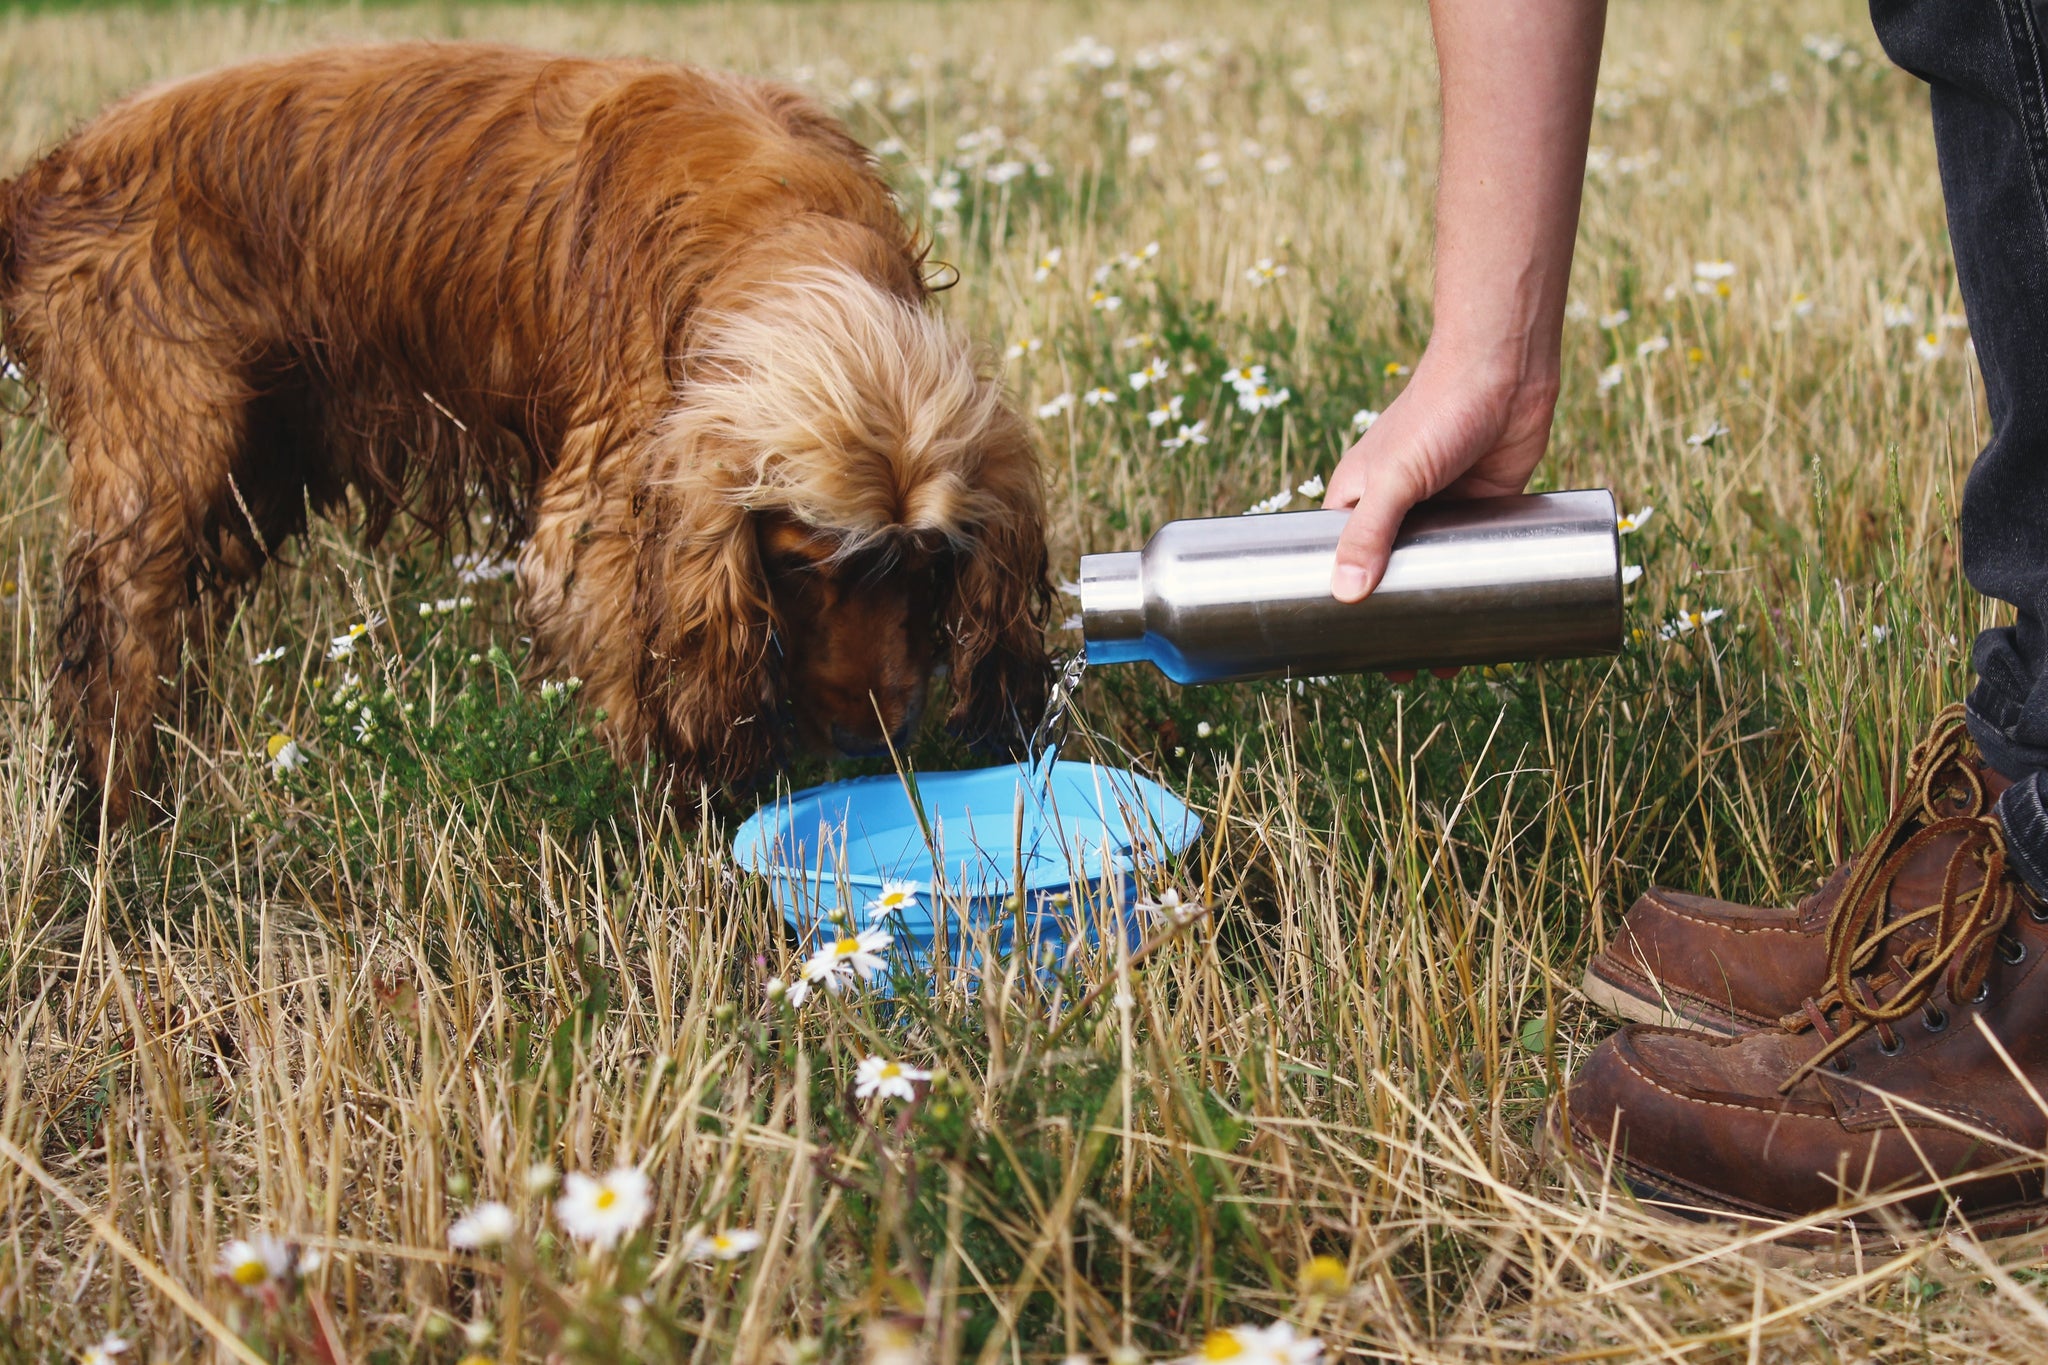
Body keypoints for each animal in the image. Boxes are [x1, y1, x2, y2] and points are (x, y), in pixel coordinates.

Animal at [0, 42, 1048, 818]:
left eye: (933, 565)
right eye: (796, 565)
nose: (879, 739)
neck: (784, 224)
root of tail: (49, 171)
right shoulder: (613, 497)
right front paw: (682, 803)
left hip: (255, 454)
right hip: (164, 451)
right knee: (111, 639)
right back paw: (117, 811)